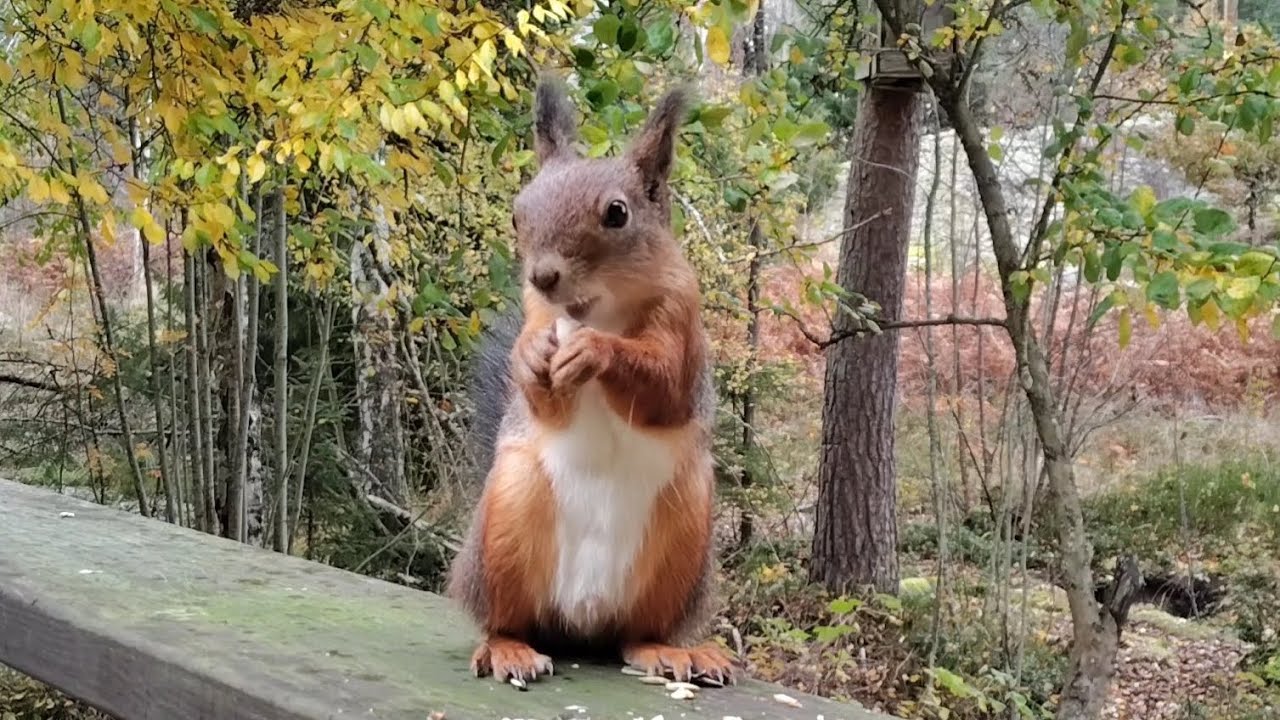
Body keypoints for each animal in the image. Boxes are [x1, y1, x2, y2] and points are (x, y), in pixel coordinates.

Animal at [446, 77, 735, 687]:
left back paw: (671, 652)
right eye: (517, 214)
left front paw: (595, 352)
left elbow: (663, 387)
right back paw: (509, 650)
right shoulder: (539, 315)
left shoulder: (683, 328)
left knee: (639, 633)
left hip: (683, 536)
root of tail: (584, 620)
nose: (542, 275)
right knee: (506, 619)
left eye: (617, 213)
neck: (597, 309)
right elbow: (542, 399)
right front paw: (532, 355)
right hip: (508, 524)